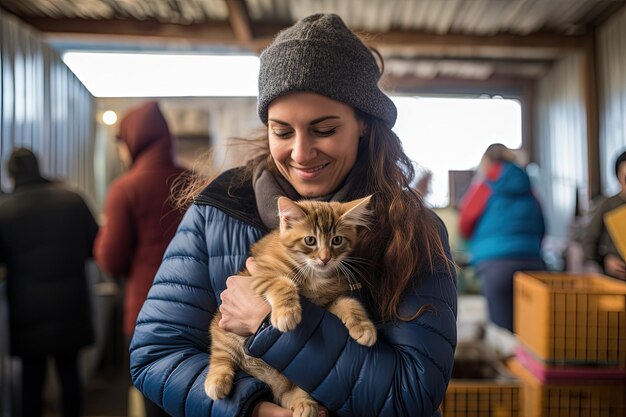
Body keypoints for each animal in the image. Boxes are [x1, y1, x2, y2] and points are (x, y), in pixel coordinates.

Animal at [204, 195, 376, 416]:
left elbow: (348, 302)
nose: (326, 258)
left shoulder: (329, 300)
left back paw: (304, 403)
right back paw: (217, 380)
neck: (314, 275)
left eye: (337, 240)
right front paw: (287, 314)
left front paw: (364, 328)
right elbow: (283, 283)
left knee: (292, 392)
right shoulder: (261, 273)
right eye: (310, 240)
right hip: (222, 330)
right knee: (221, 354)